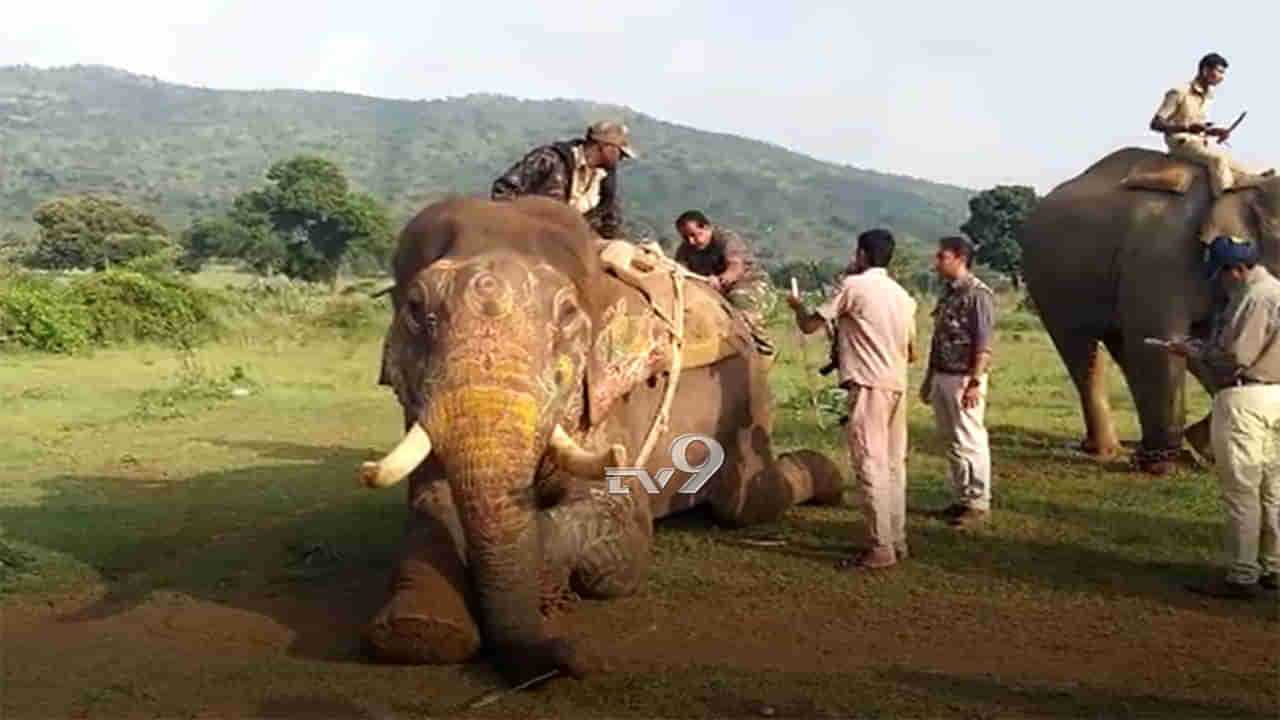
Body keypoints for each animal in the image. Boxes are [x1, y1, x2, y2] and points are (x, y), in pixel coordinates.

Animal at [355, 194, 844, 681]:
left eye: (568, 315)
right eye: (414, 310)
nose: (572, 659)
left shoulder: (612, 400)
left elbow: (621, 532)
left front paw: (545, 590)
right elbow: (431, 506)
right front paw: (420, 631)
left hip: (749, 392)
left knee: (743, 502)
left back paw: (829, 479)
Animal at [1018, 146, 1280, 471]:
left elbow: (1215, 346)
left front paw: (1203, 448)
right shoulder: (1160, 261)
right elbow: (1158, 343)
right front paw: (1163, 468)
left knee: (1123, 348)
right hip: (1050, 280)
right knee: (1082, 349)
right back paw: (1111, 452)